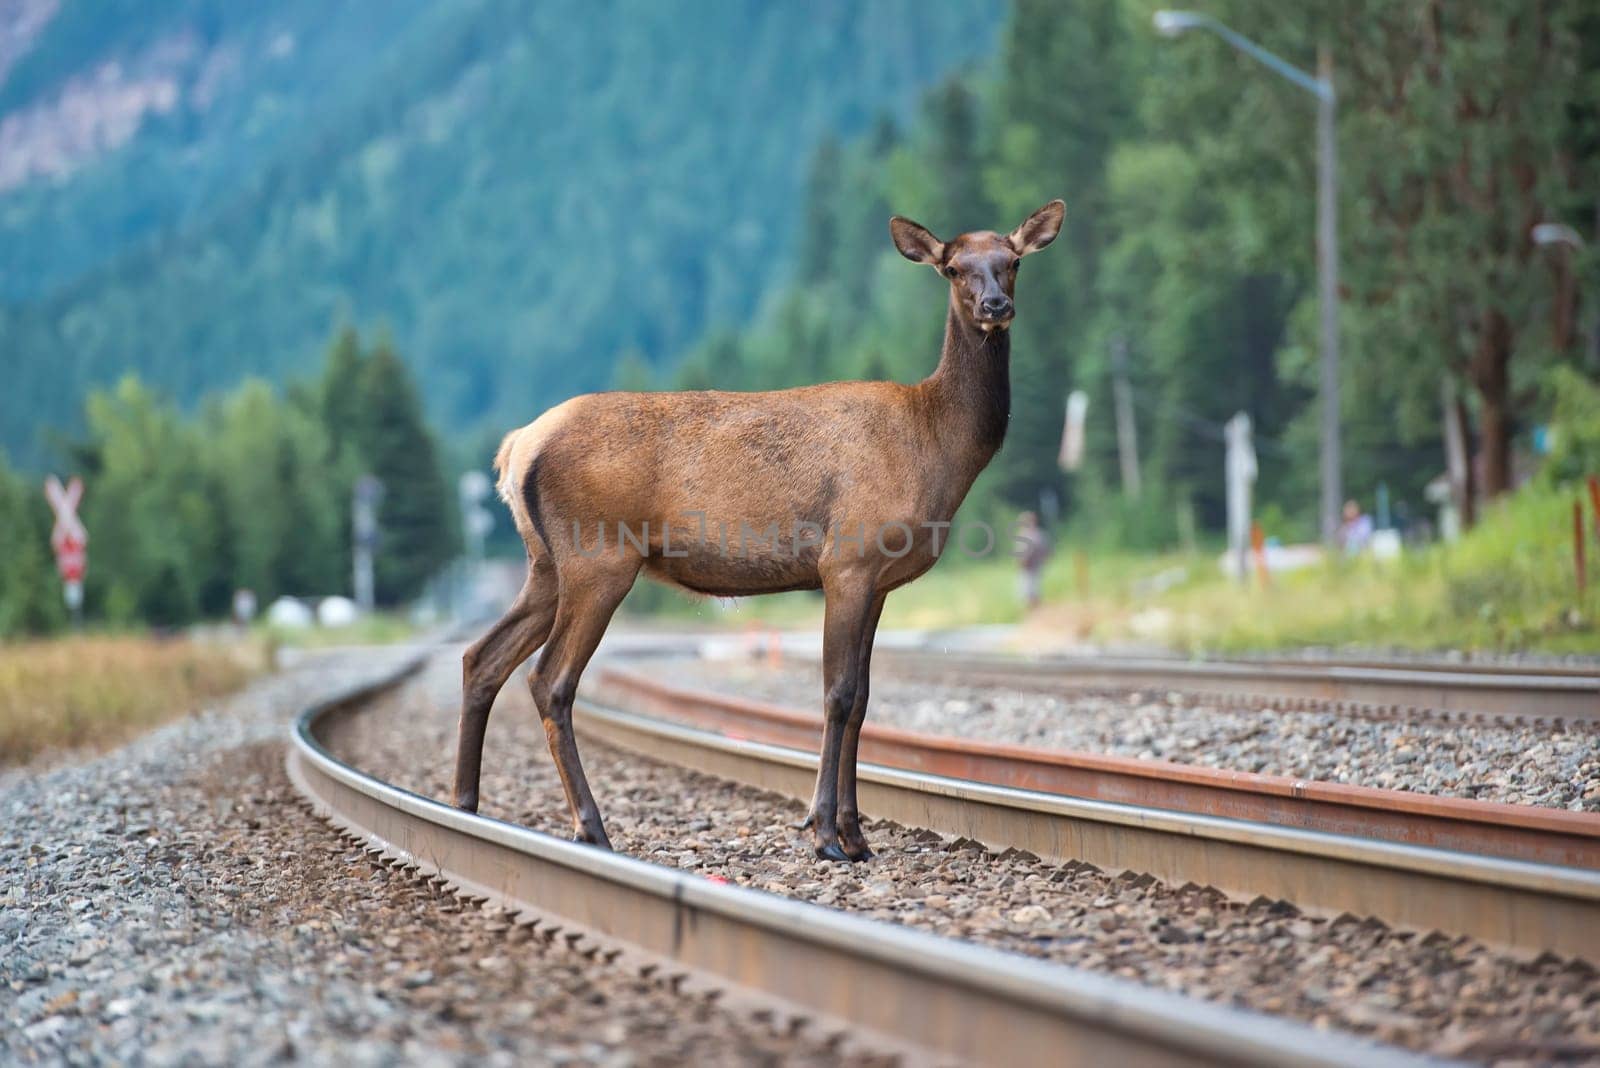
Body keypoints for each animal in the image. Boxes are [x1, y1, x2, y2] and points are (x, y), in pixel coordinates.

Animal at [454, 199, 1062, 863]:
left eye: (1012, 261)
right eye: (952, 268)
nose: (995, 306)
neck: (939, 448)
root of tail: (515, 449)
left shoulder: (878, 581)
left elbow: (863, 699)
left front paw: (857, 835)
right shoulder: (847, 561)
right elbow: (838, 694)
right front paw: (824, 834)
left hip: (545, 565)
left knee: (482, 657)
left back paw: (464, 805)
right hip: (598, 557)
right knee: (550, 680)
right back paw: (590, 828)